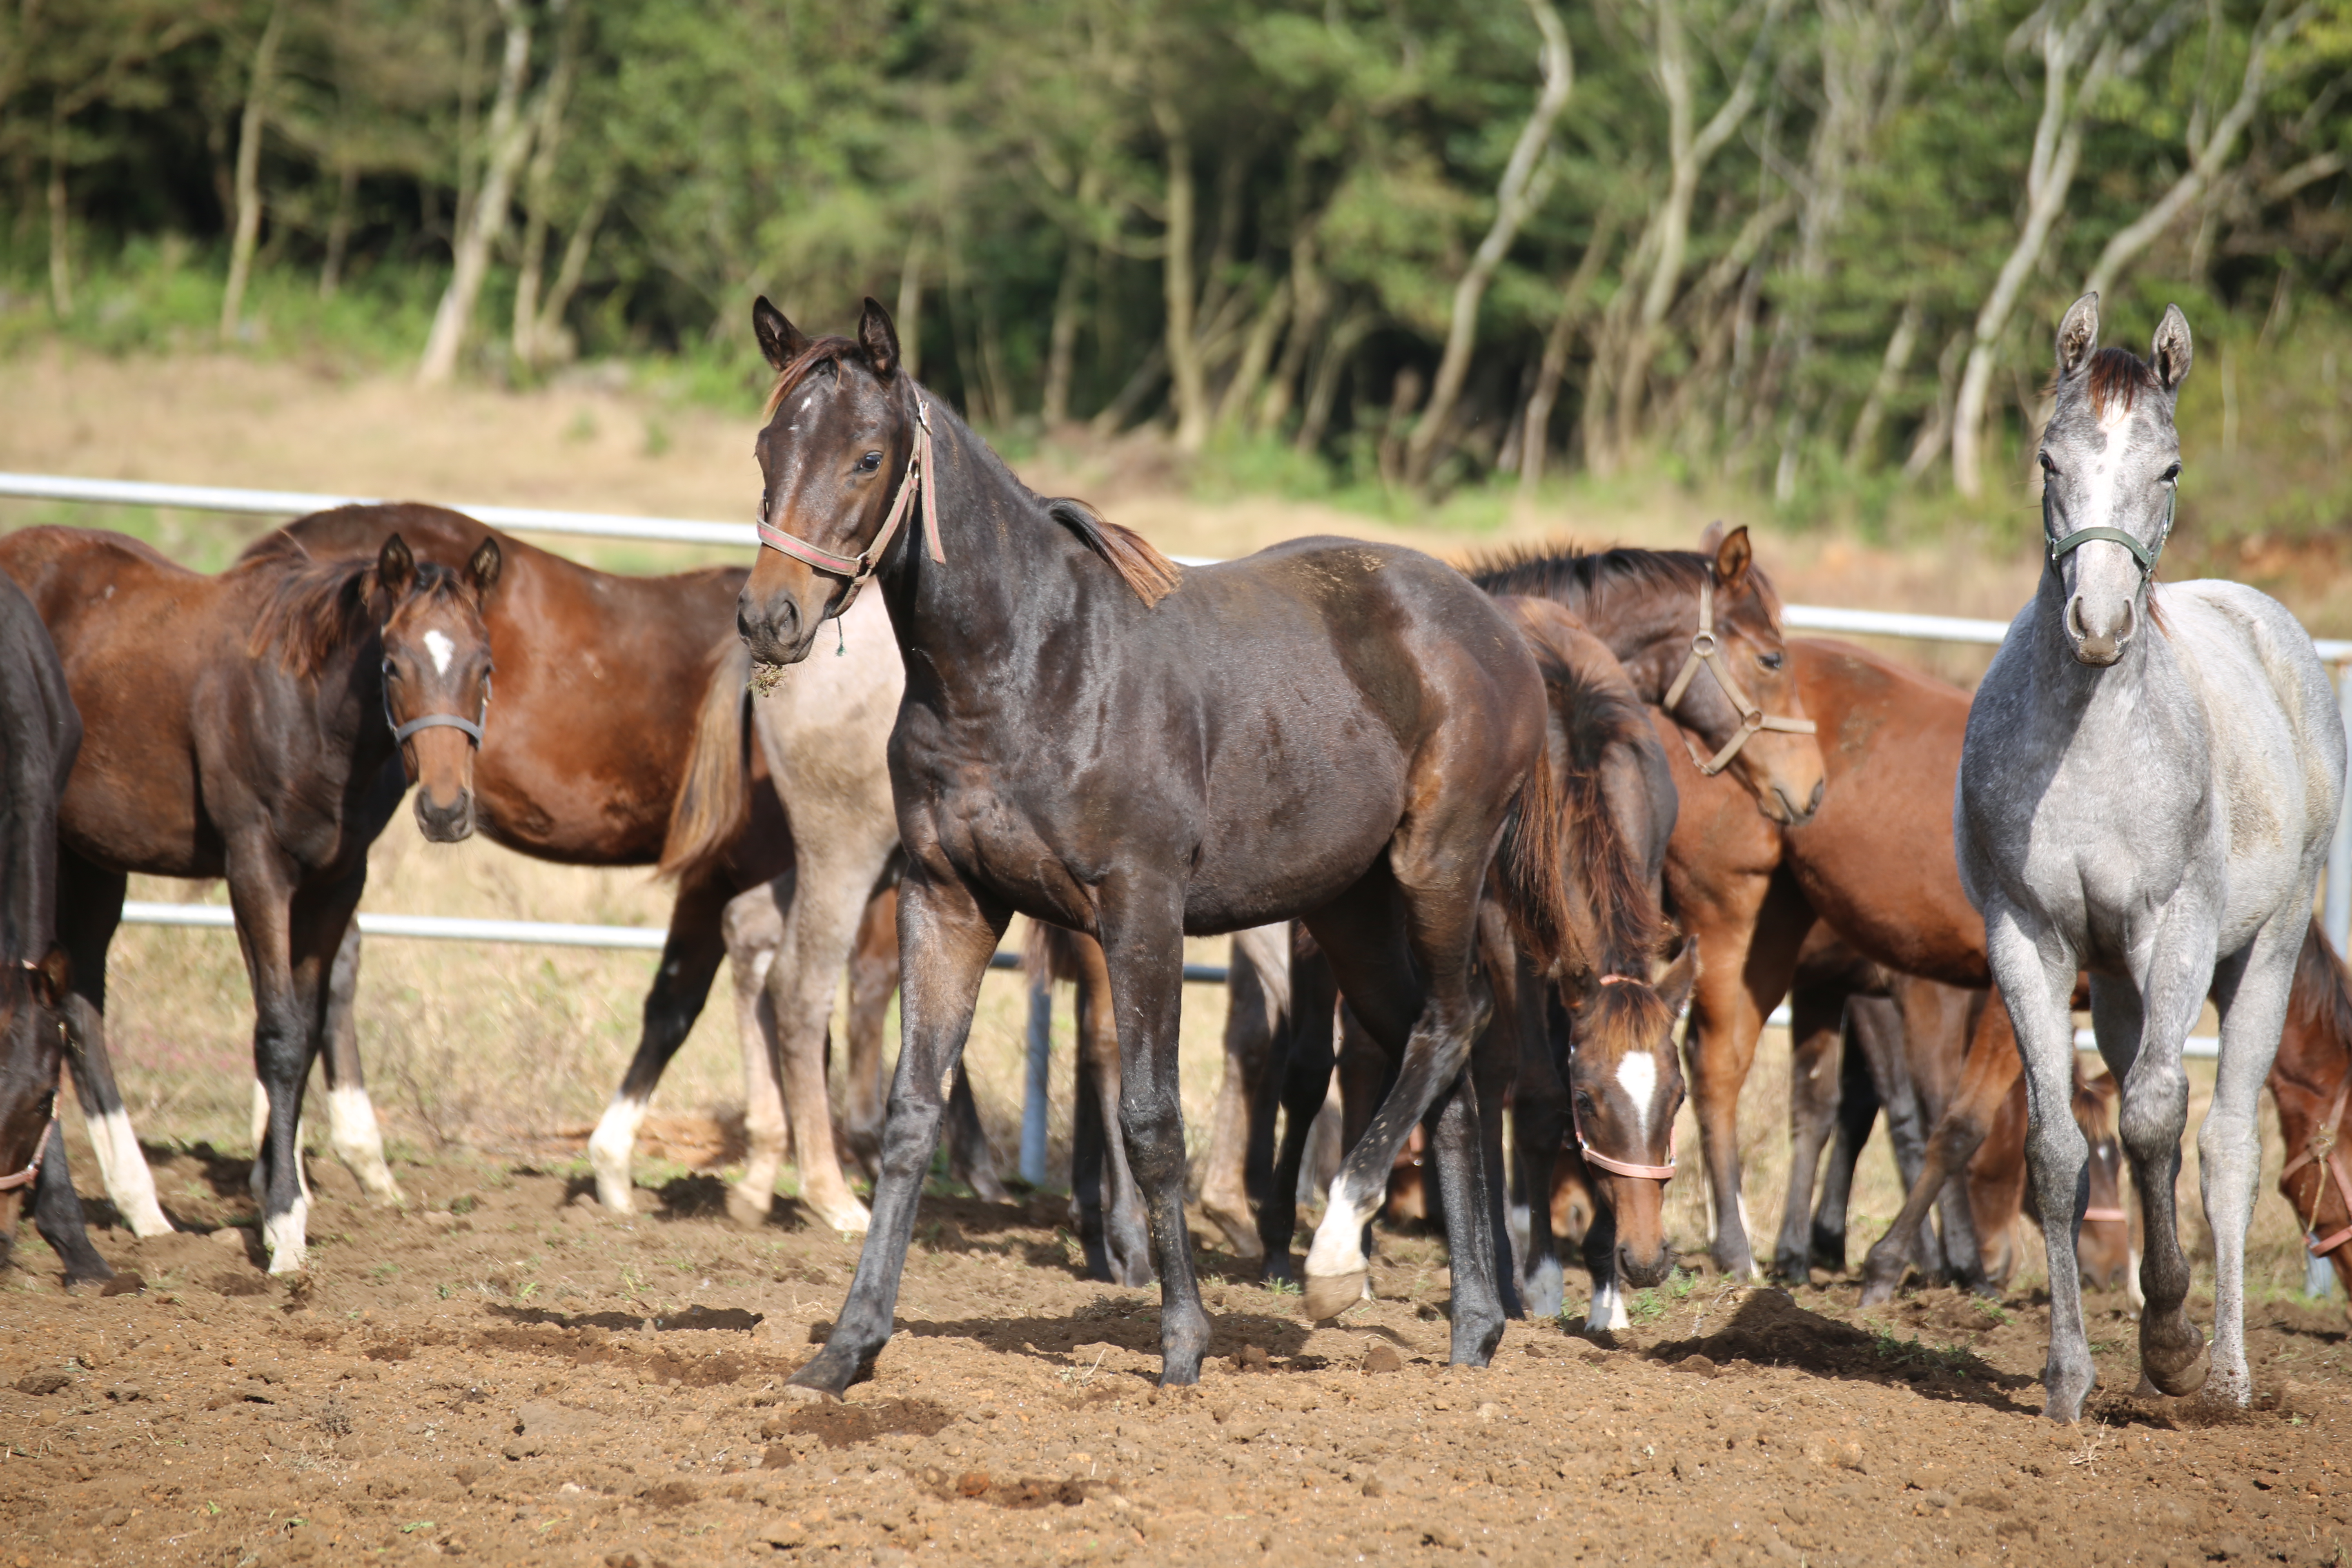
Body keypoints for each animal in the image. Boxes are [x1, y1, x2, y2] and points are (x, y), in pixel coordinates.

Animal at [0, 526, 496, 1278]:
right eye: (393, 666)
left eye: (485, 667)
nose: (445, 810)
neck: (308, 708)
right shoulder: (256, 865)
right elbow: (280, 1034)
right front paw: (285, 1222)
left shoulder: (337, 881)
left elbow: (308, 1023)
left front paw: (275, 1190)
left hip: (96, 859)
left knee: (77, 1006)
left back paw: (140, 1209)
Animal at [743, 294, 1571, 1382]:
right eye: (767, 445)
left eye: (868, 456)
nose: (770, 615)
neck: (1027, 665)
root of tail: (1498, 626)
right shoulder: (948, 898)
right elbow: (912, 1114)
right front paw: (848, 1346)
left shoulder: (1141, 910)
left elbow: (1150, 1119)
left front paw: (1181, 1343)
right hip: (1350, 907)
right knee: (1439, 1056)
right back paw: (1471, 1323)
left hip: (1437, 867)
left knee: (1451, 1023)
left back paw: (1336, 1259)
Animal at [1957, 294, 2342, 1420]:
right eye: (2048, 458)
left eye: (2167, 468)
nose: (2097, 621)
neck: (2092, 746)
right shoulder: (2027, 938)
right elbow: (2059, 1148)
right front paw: (2068, 1376)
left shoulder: (2175, 931)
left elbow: (2158, 1121)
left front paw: (2169, 1342)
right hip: (2121, 983)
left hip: (2259, 954)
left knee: (2220, 1146)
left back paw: (2224, 1374)